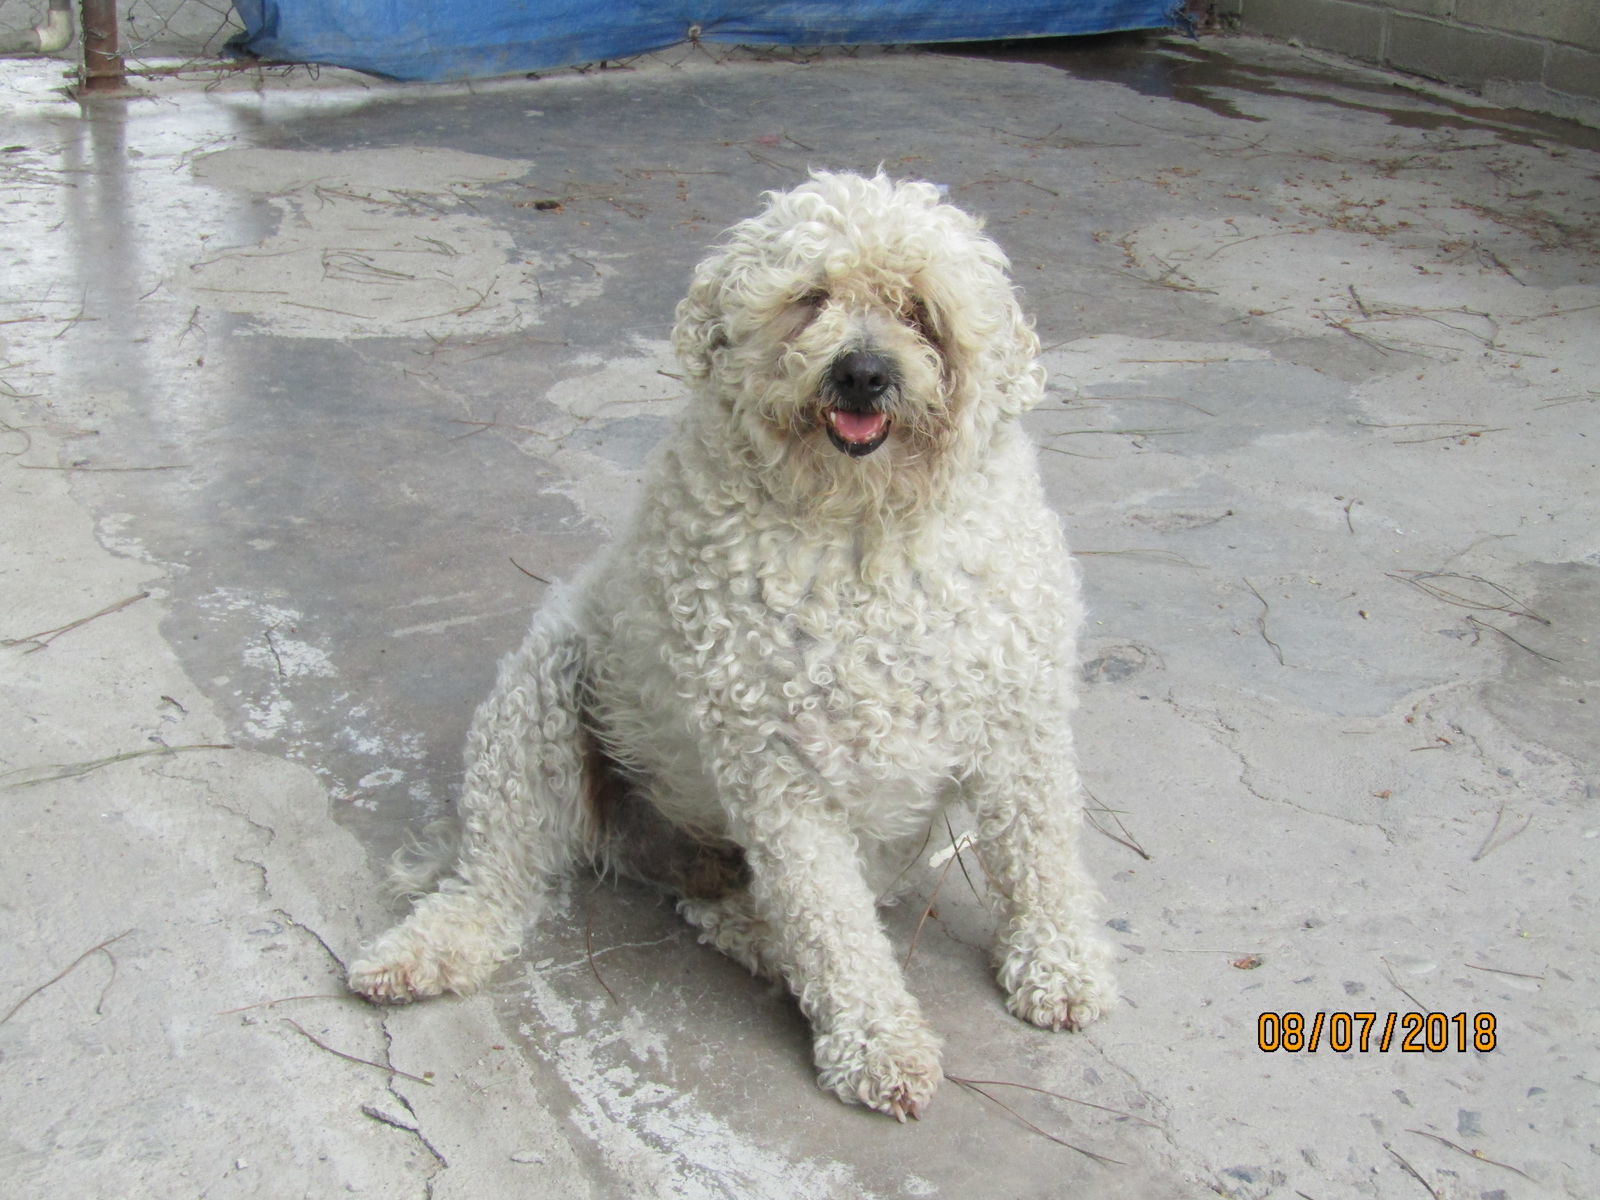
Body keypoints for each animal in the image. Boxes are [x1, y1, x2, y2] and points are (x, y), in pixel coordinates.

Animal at [350, 173, 1120, 1126]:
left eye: (919, 309)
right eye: (811, 298)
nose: (863, 371)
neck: (863, 530)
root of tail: (650, 849)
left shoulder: (1019, 726)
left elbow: (1040, 856)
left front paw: (1060, 965)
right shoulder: (780, 769)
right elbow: (832, 929)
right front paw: (878, 1042)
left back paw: (742, 924)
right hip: (537, 705)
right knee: (497, 880)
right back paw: (430, 948)